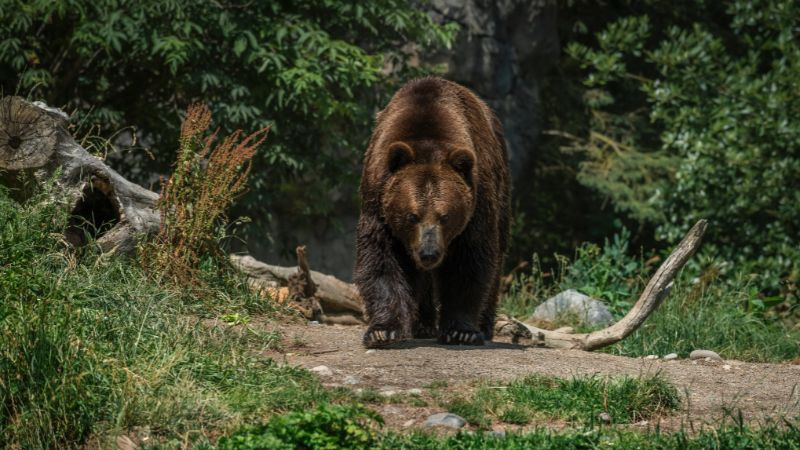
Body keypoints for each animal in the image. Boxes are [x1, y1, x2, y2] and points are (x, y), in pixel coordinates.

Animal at [354, 76, 510, 348]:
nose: (429, 253)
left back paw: (483, 326)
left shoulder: (478, 201)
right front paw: (383, 330)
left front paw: (461, 331)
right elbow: (381, 257)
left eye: (445, 216)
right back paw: (422, 324)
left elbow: (470, 260)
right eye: (412, 216)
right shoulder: (378, 198)